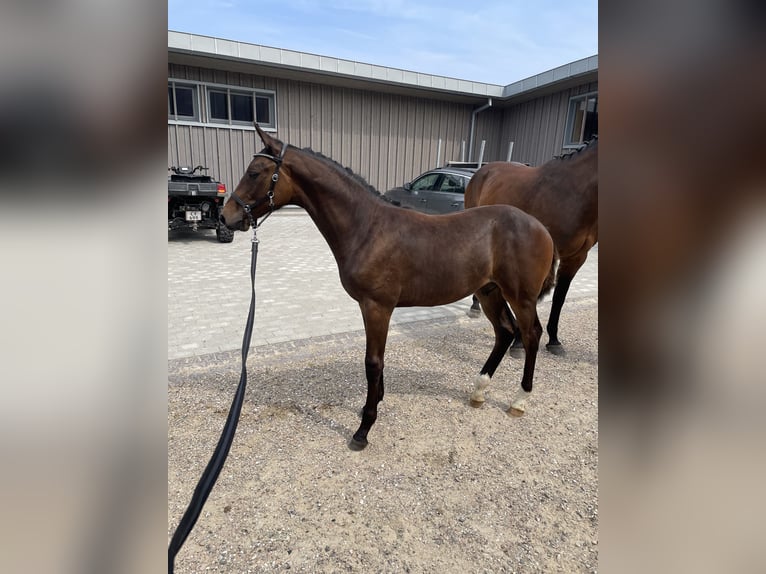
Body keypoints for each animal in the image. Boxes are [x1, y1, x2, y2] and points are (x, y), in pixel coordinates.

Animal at [222, 125, 560, 450]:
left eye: (254, 172)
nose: (227, 216)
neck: (368, 228)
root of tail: (542, 228)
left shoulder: (377, 306)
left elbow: (373, 363)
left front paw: (364, 428)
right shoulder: (373, 307)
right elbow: (377, 362)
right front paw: (371, 406)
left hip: (520, 297)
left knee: (530, 334)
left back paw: (519, 400)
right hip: (489, 292)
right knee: (505, 332)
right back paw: (478, 391)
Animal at [464, 138, 596, 356]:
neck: (575, 193)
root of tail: (484, 169)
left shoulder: (577, 257)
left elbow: (559, 297)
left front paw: (554, 340)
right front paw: (518, 342)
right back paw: (475, 306)